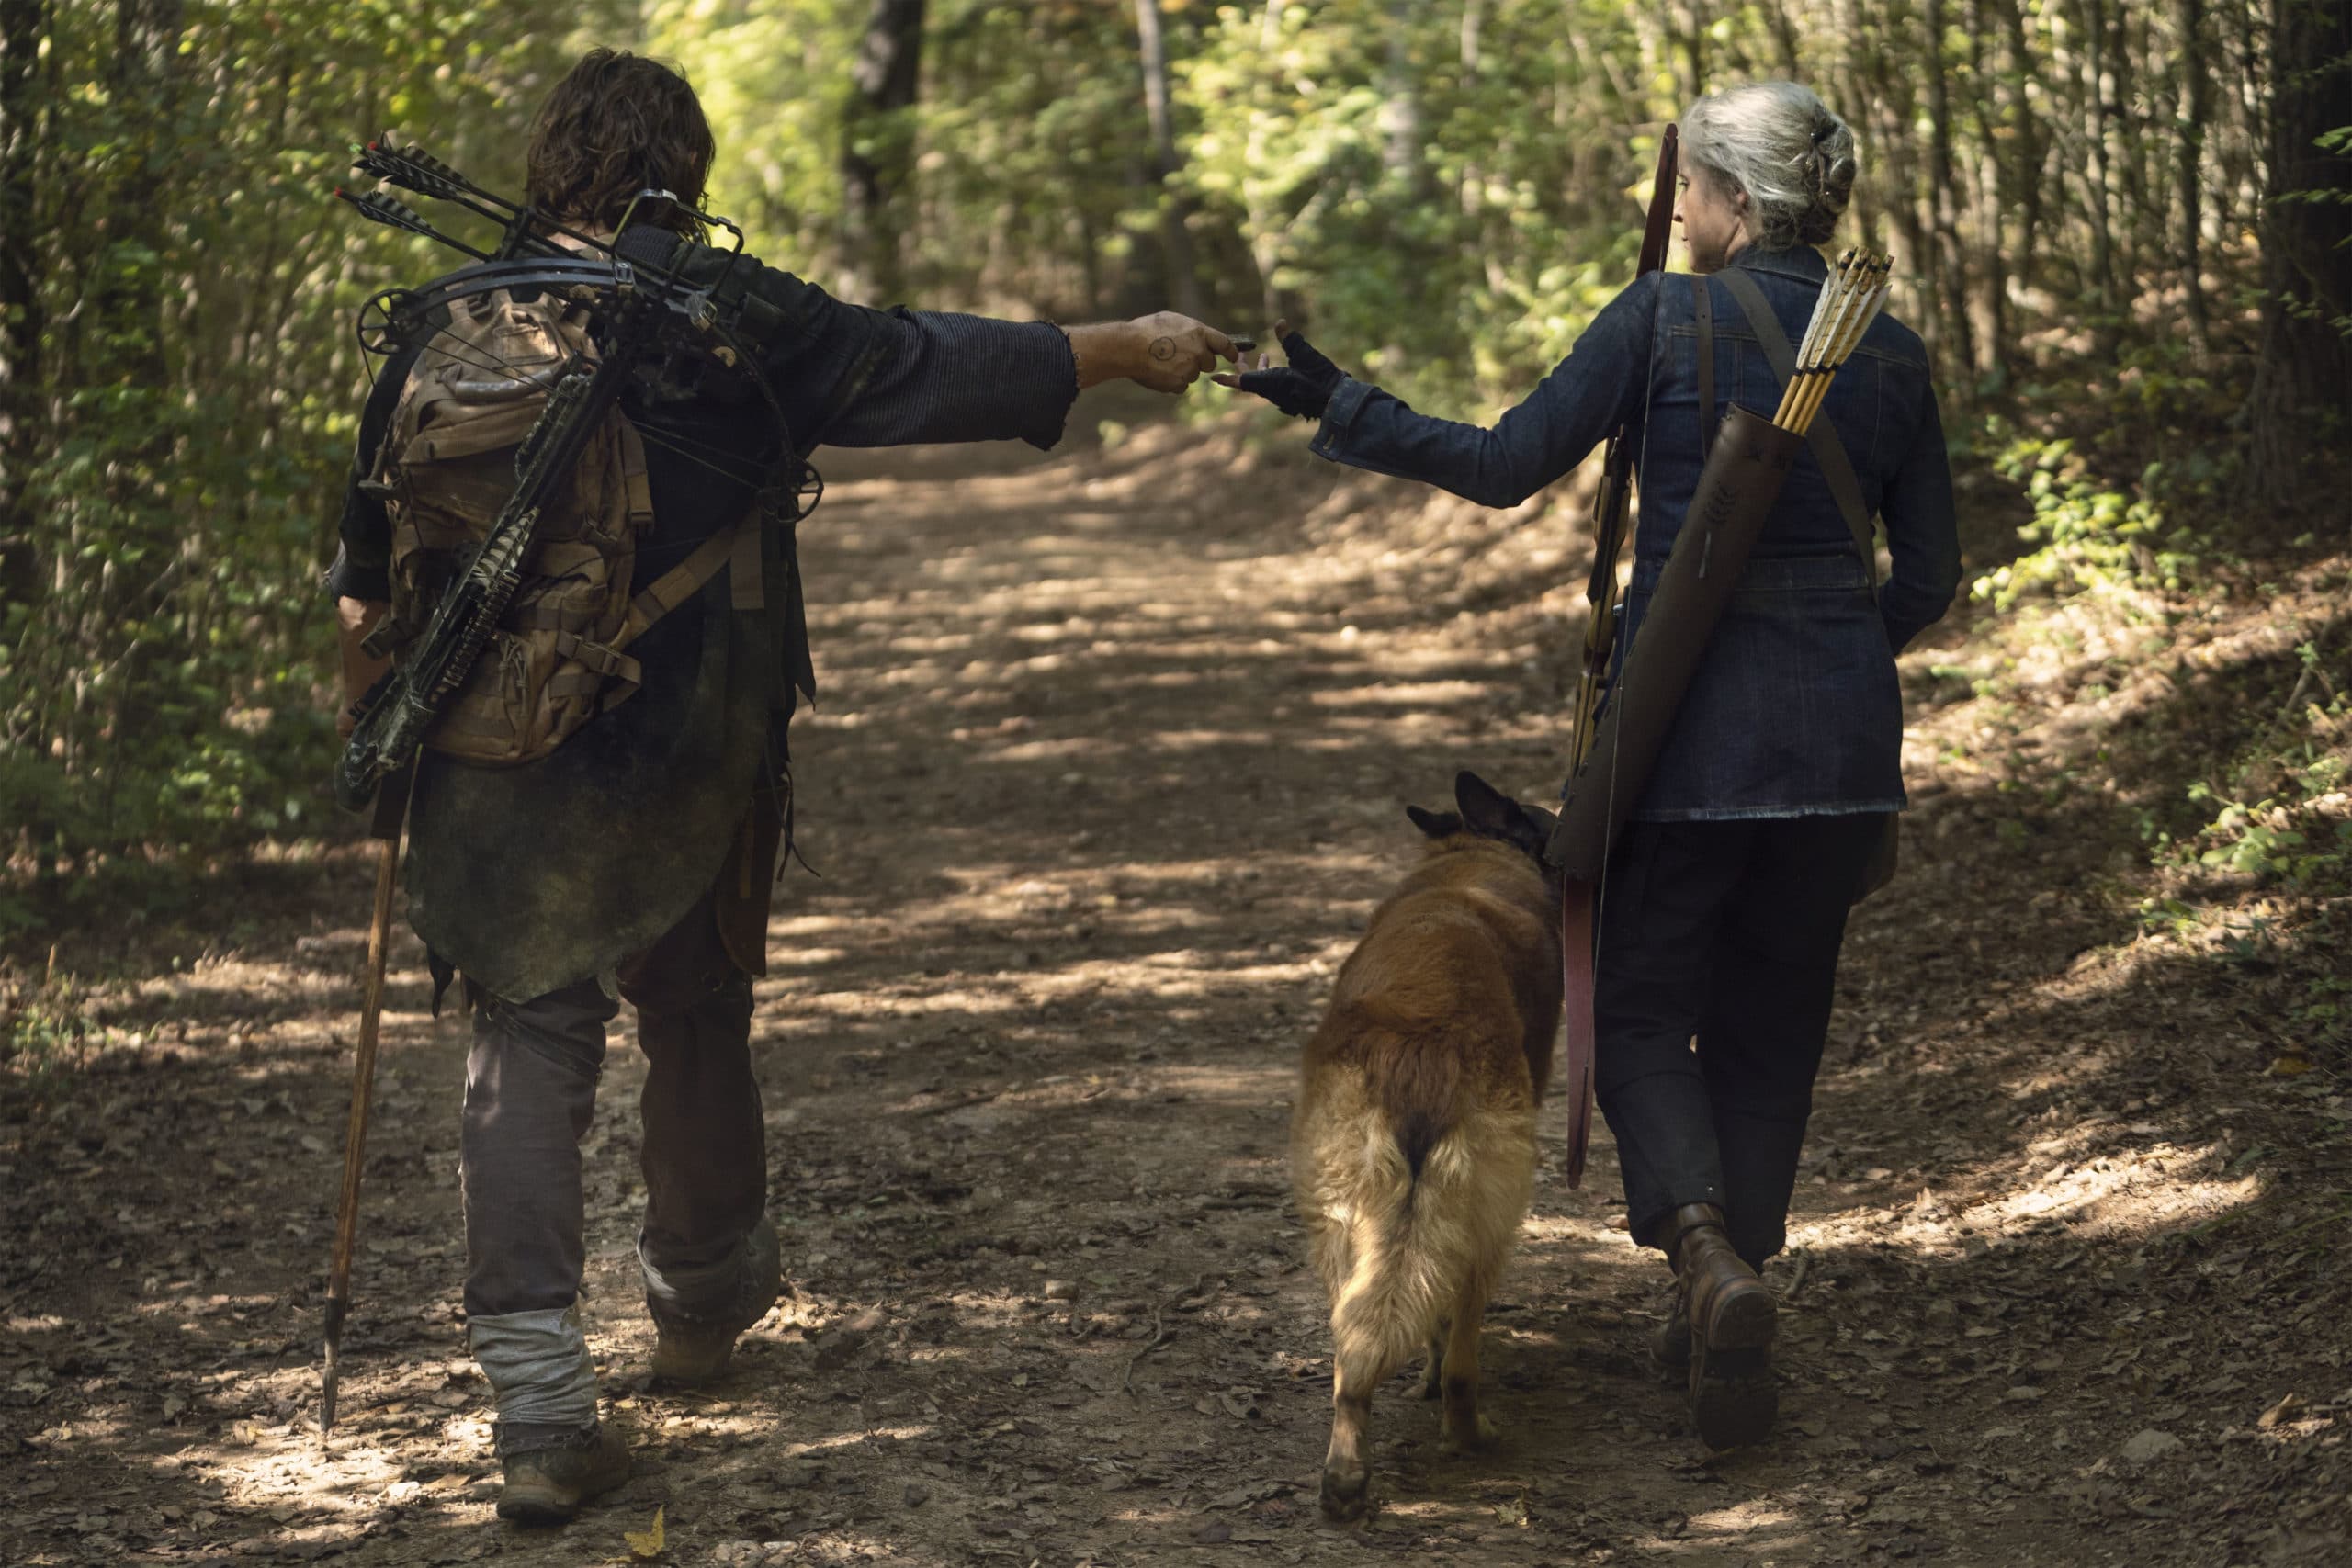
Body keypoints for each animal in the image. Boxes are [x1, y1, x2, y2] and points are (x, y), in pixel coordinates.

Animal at [1288, 771, 1561, 1523]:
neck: (1473, 857)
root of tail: (1421, 1049)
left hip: (1346, 1226)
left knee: (1353, 1354)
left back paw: (1345, 1477)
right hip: (1490, 1225)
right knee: (1461, 1352)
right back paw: (1469, 1433)